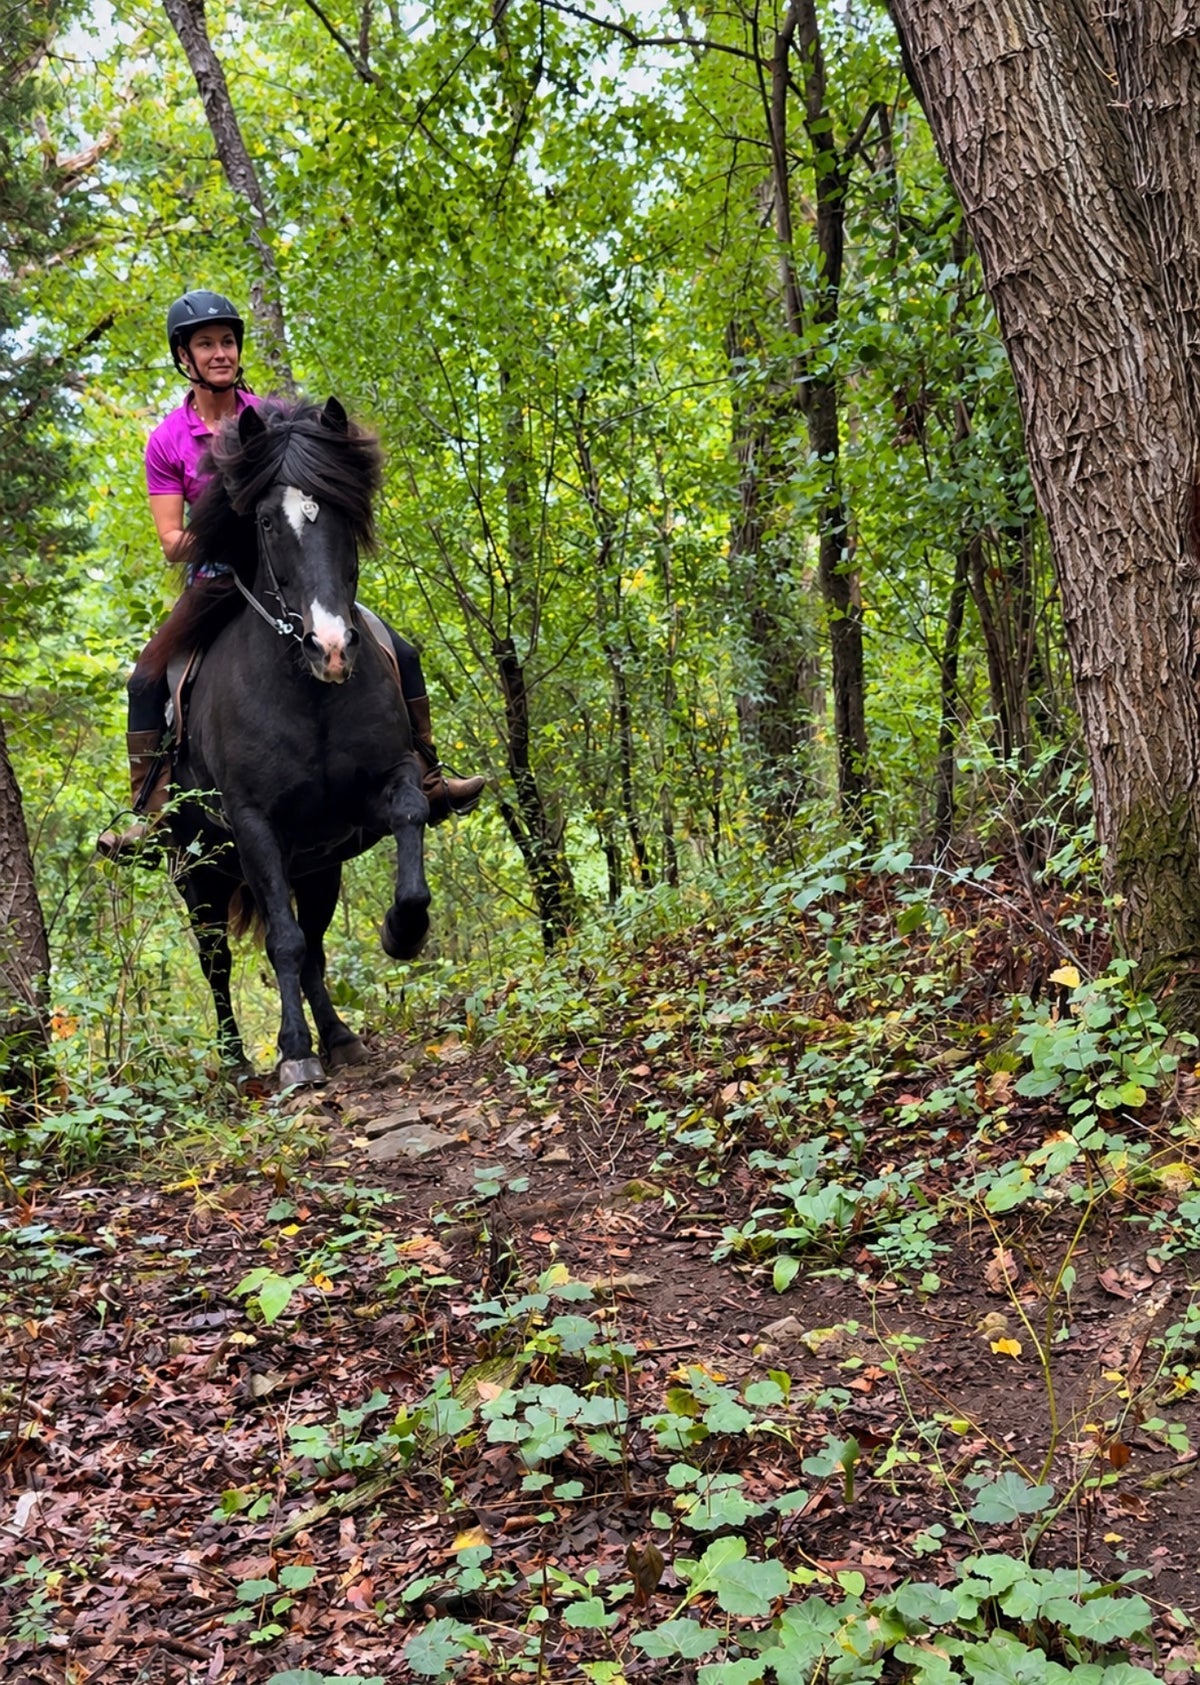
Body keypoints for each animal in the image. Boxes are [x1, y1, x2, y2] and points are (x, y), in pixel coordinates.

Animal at [146, 396, 430, 1087]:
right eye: (268, 522)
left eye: (342, 510)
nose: (330, 647)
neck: (309, 694)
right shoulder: (253, 824)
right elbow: (282, 940)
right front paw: (295, 1053)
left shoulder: (379, 786)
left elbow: (411, 819)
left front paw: (403, 931)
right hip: (199, 872)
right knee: (218, 961)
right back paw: (235, 1059)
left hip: (318, 863)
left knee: (316, 943)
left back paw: (340, 1037)